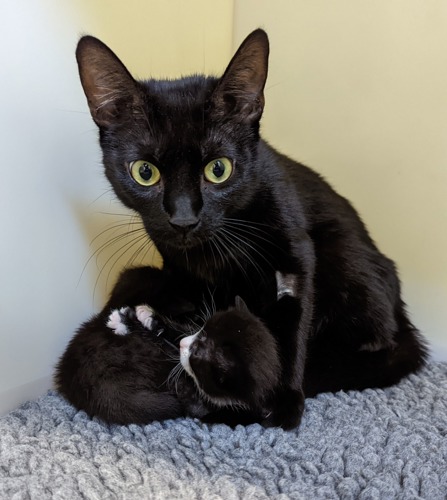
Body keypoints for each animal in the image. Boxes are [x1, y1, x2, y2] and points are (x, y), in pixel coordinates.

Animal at [55, 30, 428, 430]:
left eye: (219, 169)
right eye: (144, 172)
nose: (184, 219)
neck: (215, 249)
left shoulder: (294, 253)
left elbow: (293, 316)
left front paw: (282, 400)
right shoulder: (180, 267)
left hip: (345, 256)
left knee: (377, 345)